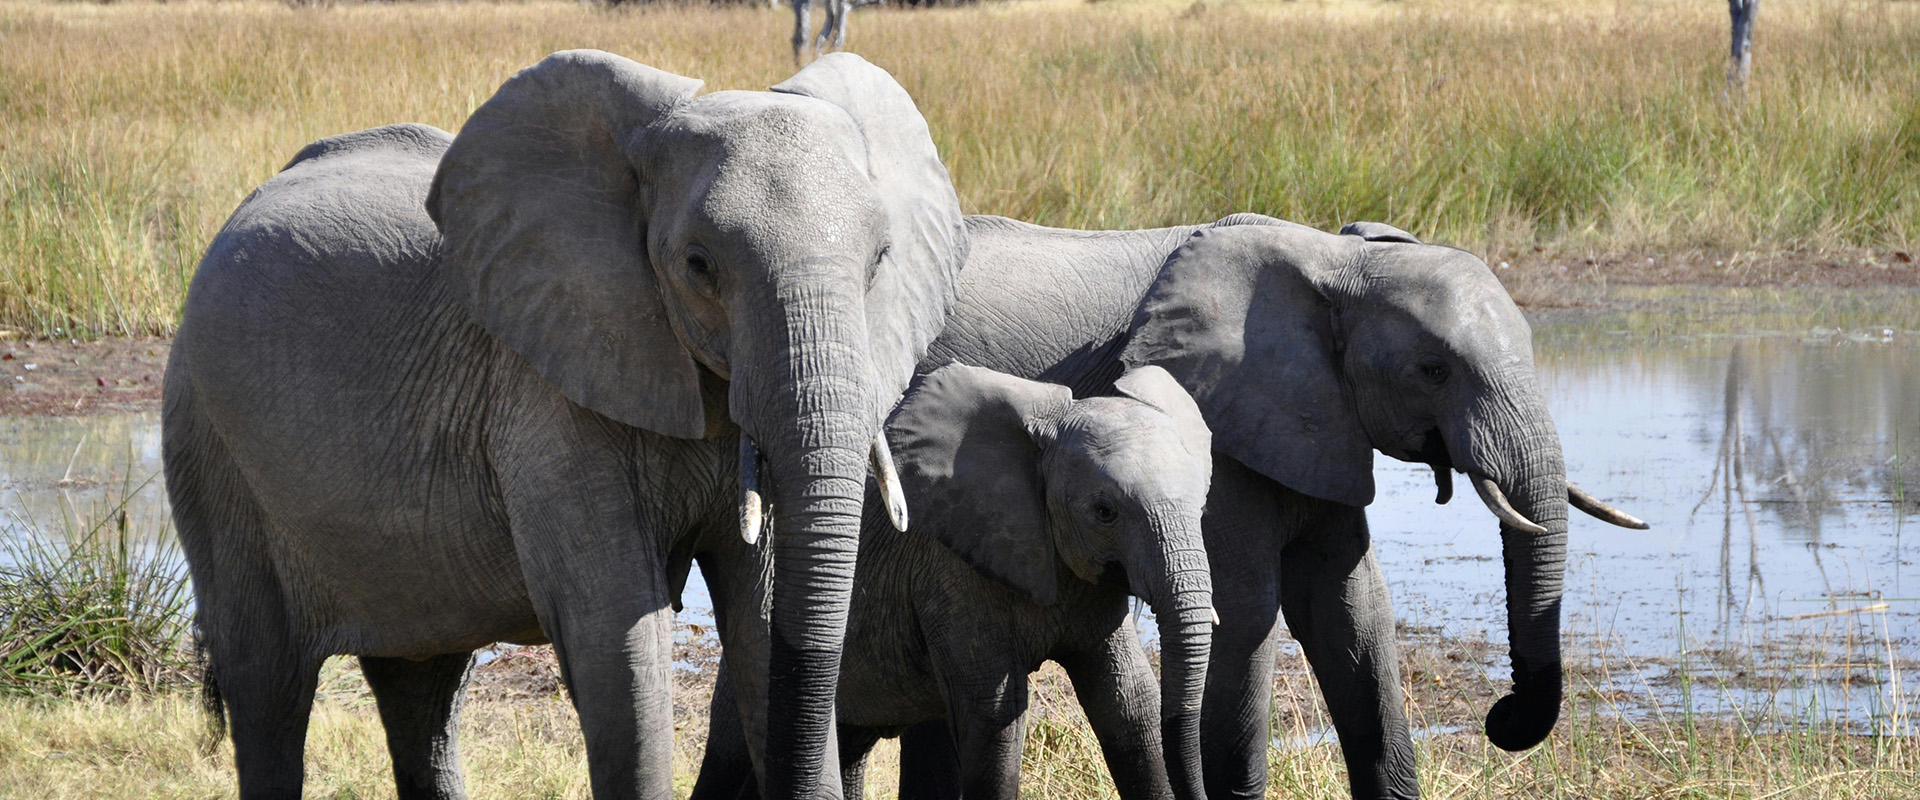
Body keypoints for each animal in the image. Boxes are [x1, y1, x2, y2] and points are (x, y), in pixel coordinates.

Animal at [163, 49, 967, 798]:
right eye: (698, 265)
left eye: (881, 260)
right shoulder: (545, 393)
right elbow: (616, 632)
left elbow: (763, 612)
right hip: (208, 441)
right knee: (267, 685)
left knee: (421, 688)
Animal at [698, 362, 1213, 798]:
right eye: (1104, 512)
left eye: (1202, 503)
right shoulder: (947, 573)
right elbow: (995, 715)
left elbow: (1130, 706)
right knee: (729, 755)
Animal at [887, 214, 1651, 794]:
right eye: (1433, 370)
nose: (1501, 716)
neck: (1336, 260)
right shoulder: (1219, 429)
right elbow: (1249, 609)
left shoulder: (1320, 426)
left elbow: (1351, 608)